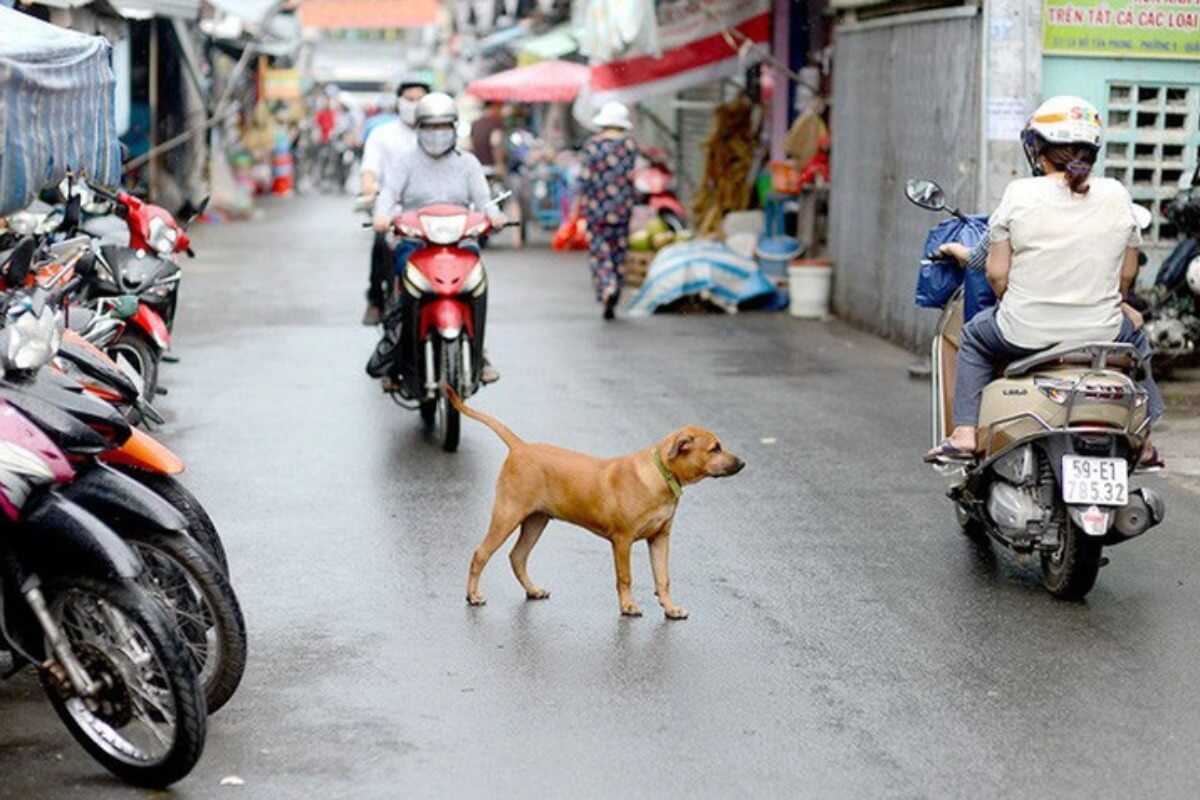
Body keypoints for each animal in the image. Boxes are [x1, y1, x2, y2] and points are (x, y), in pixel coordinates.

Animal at [446, 388, 739, 618]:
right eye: (715, 448)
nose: (743, 463)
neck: (660, 474)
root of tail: (520, 446)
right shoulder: (622, 540)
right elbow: (625, 577)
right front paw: (629, 606)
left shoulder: (660, 538)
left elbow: (663, 578)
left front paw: (670, 608)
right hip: (507, 514)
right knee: (481, 553)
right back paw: (473, 596)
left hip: (536, 520)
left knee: (517, 557)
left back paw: (533, 590)